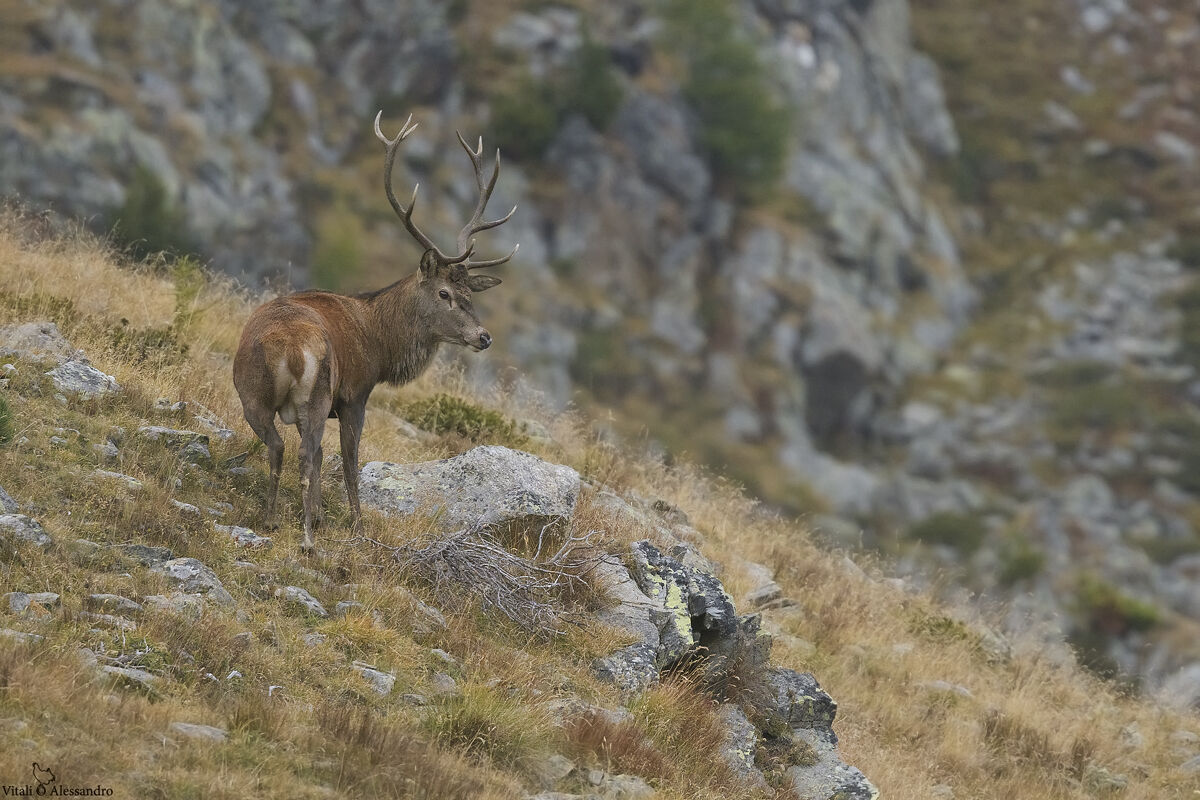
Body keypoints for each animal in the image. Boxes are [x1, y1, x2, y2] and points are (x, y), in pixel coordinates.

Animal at [232, 112, 518, 551]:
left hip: (251, 392)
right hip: (317, 394)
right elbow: (350, 462)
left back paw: (270, 518)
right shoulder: (355, 393)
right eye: (445, 293)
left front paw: (319, 514)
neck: (379, 345)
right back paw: (307, 539)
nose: (483, 336)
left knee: (280, 446)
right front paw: (356, 526)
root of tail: (291, 349)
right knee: (304, 453)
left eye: (471, 293)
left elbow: (324, 459)